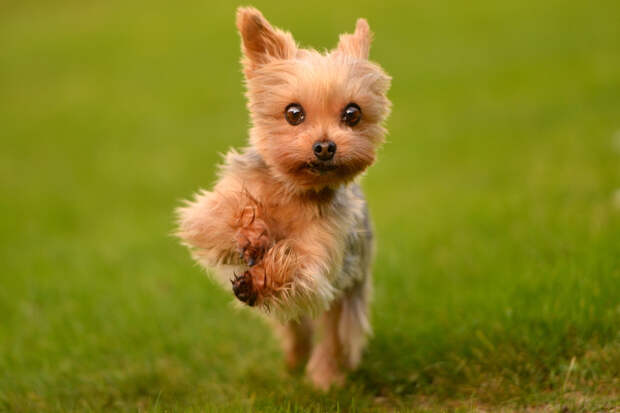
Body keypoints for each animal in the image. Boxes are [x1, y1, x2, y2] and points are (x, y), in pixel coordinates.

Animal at [177, 7, 390, 390]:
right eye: (294, 113)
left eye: (352, 114)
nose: (325, 147)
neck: (292, 192)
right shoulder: (208, 210)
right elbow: (223, 215)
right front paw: (251, 232)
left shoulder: (323, 259)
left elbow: (298, 265)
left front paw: (260, 275)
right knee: (294, 330)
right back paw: (292, 363)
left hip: (348, 297)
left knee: (332, 337)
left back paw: (323, 378)